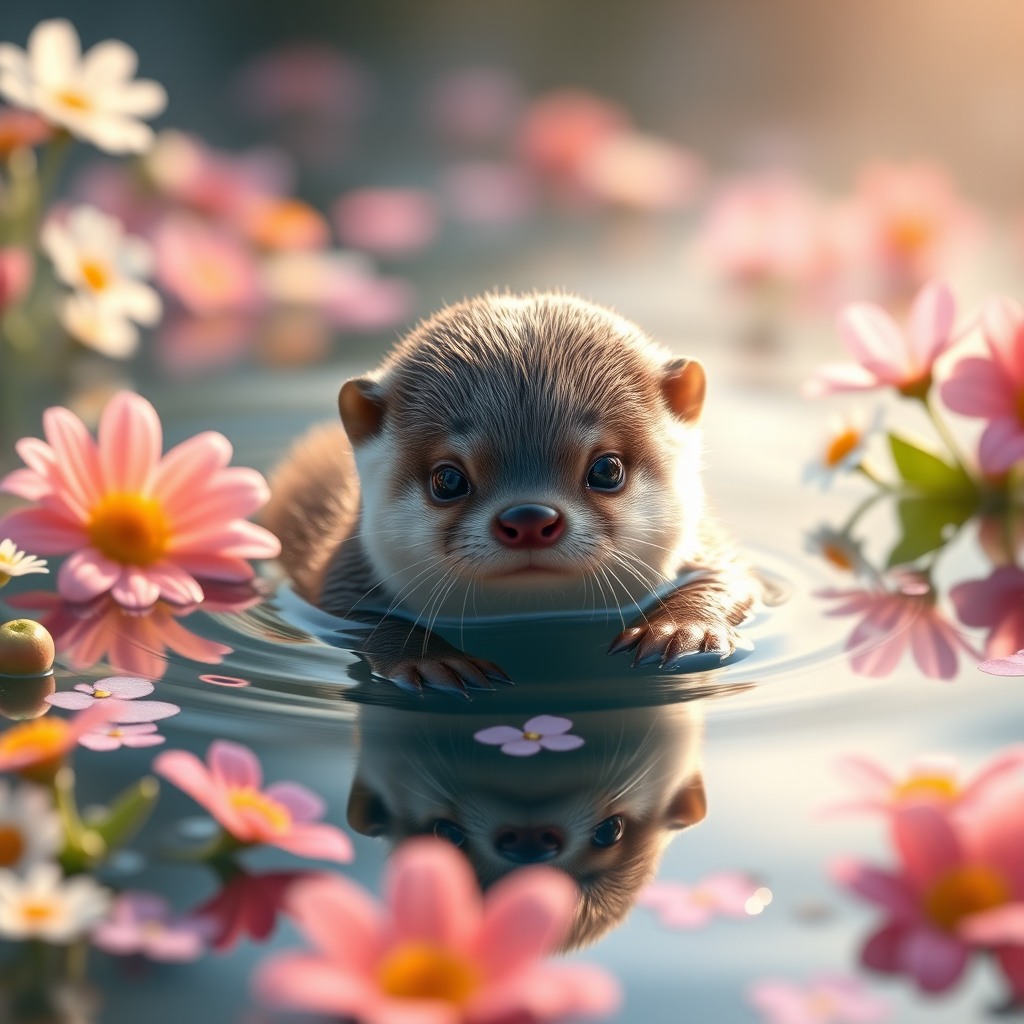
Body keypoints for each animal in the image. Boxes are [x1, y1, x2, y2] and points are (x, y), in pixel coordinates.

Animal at [263, 292, 761, 692]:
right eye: (448, 480)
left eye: (606, 469)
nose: (529, 518)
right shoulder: (336, 579)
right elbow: (358, 620)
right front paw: (432, 661)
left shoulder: (713, 547)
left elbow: (734, 580)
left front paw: (682, 630)